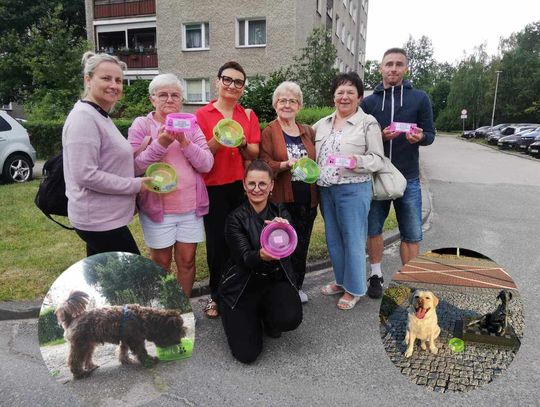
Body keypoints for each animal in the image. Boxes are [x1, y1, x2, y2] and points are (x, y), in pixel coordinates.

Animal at [55, 290, 186, 380]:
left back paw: (91, 366)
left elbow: (123, 350)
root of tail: (72, 319)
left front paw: (125, 360)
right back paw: (79, 373)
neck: (143, 319)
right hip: (80, 344)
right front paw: (149, 360)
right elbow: (141, 351)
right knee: (74, 360)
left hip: (89, 344)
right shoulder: (135, 340)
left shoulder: (126, 338)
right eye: (178, 331)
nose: (179, 342)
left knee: (87, 357)